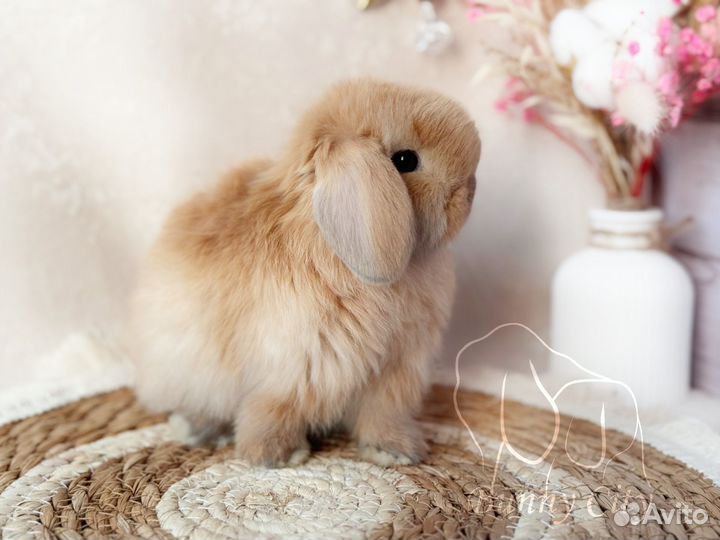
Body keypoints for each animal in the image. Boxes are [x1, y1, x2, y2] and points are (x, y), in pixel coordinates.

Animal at [130, 78, 481, 467]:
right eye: (405, 160)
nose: (469, 190)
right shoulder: (295, 366)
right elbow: (275, 408)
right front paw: (276, 455)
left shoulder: (396, 370)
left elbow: (382, 414)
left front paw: (396, 450)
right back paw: (194, 427)